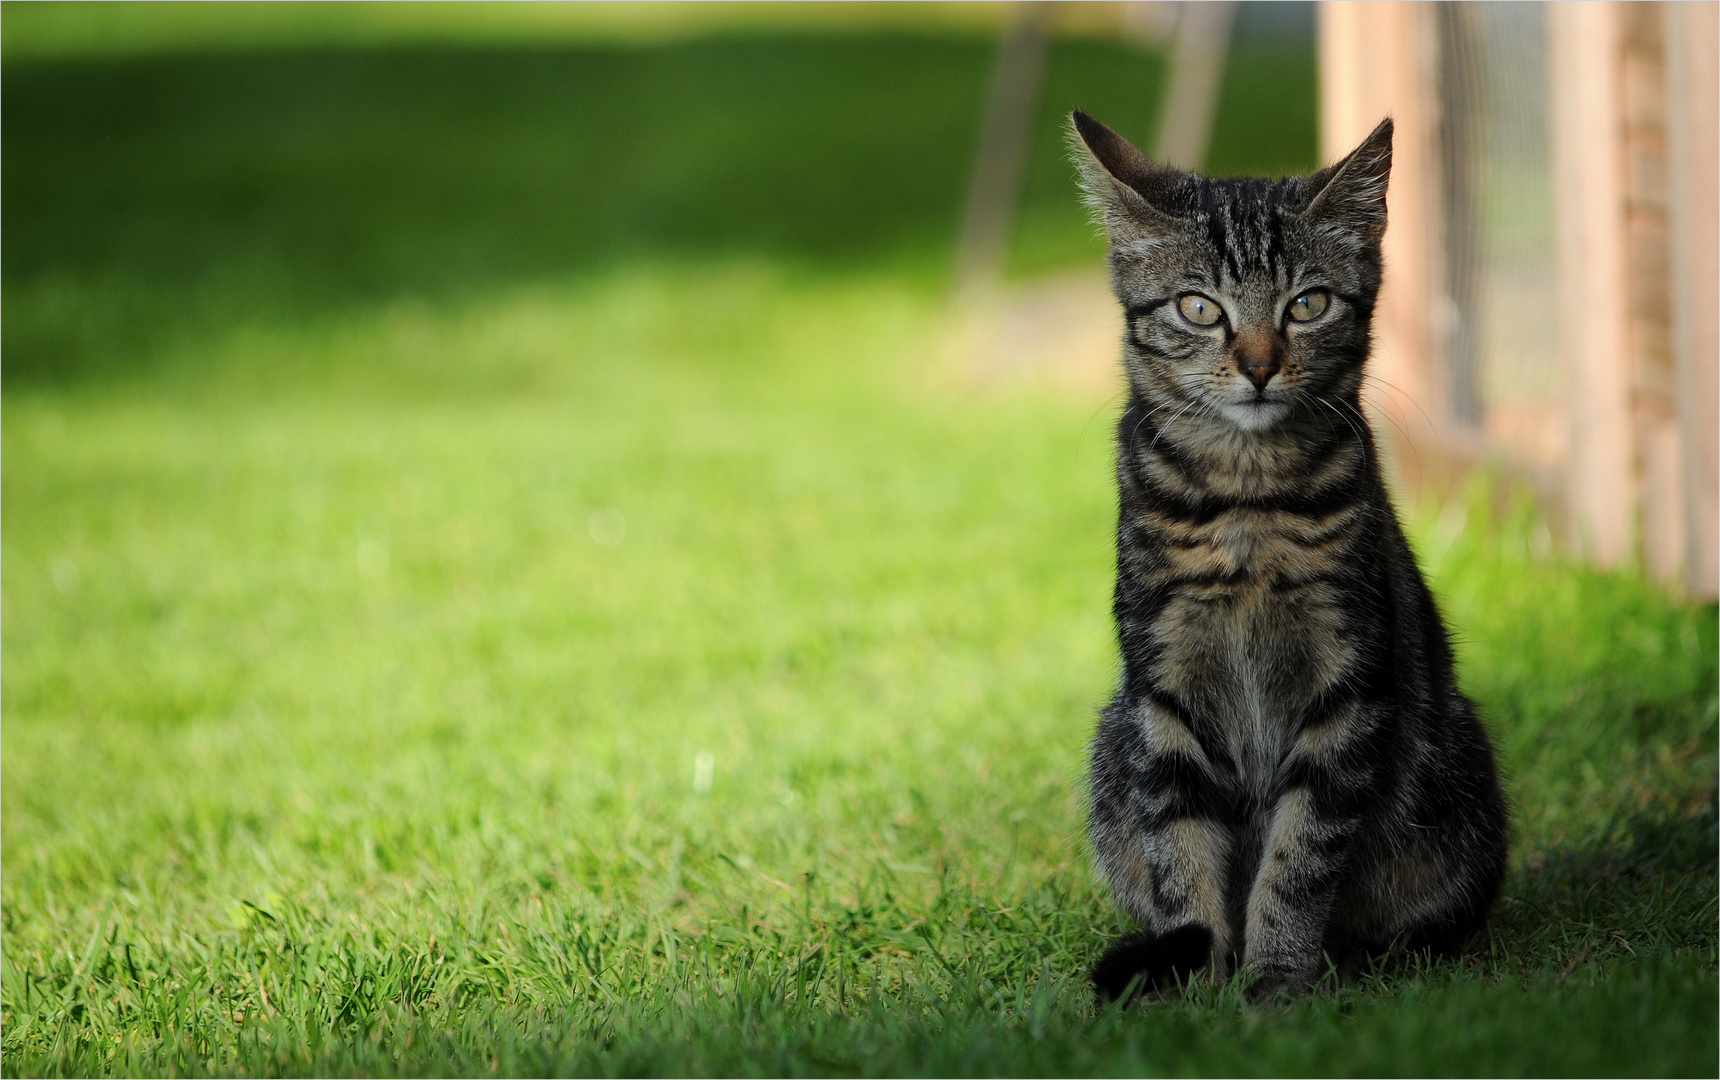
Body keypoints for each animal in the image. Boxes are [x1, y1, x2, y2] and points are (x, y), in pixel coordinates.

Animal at [1073, 113, 1506, 997]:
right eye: (1198, 306)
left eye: (1307, 304)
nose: (1260, 365)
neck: (1248, 504)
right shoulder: (1161, 686)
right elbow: (1178, 846)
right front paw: (1197, 973)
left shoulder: (1349, 684)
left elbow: (1299, 856)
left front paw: (1276, 980)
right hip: (1111, 741)